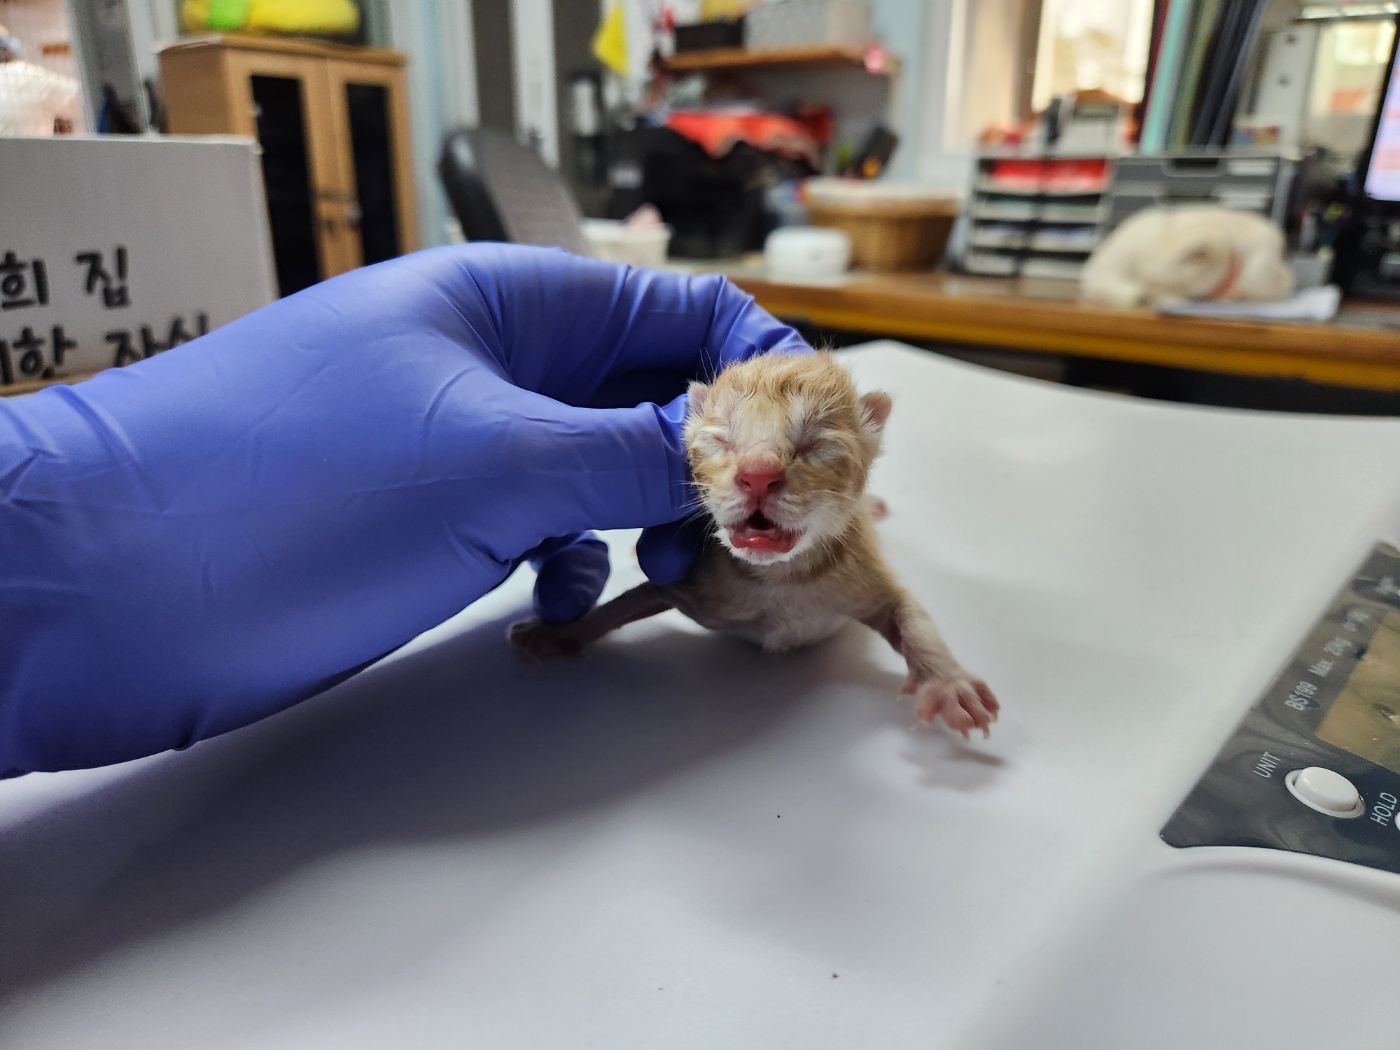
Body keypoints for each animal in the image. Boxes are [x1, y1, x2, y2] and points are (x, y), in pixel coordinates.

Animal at [509, 354, 1002, 739]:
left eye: (815, 444)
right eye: (720, 439)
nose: (758, 473)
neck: (778, 580)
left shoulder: (861, 573)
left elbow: (911, 618)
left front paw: (949, 685)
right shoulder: (692, 584)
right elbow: (623, 604)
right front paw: (558, 632)